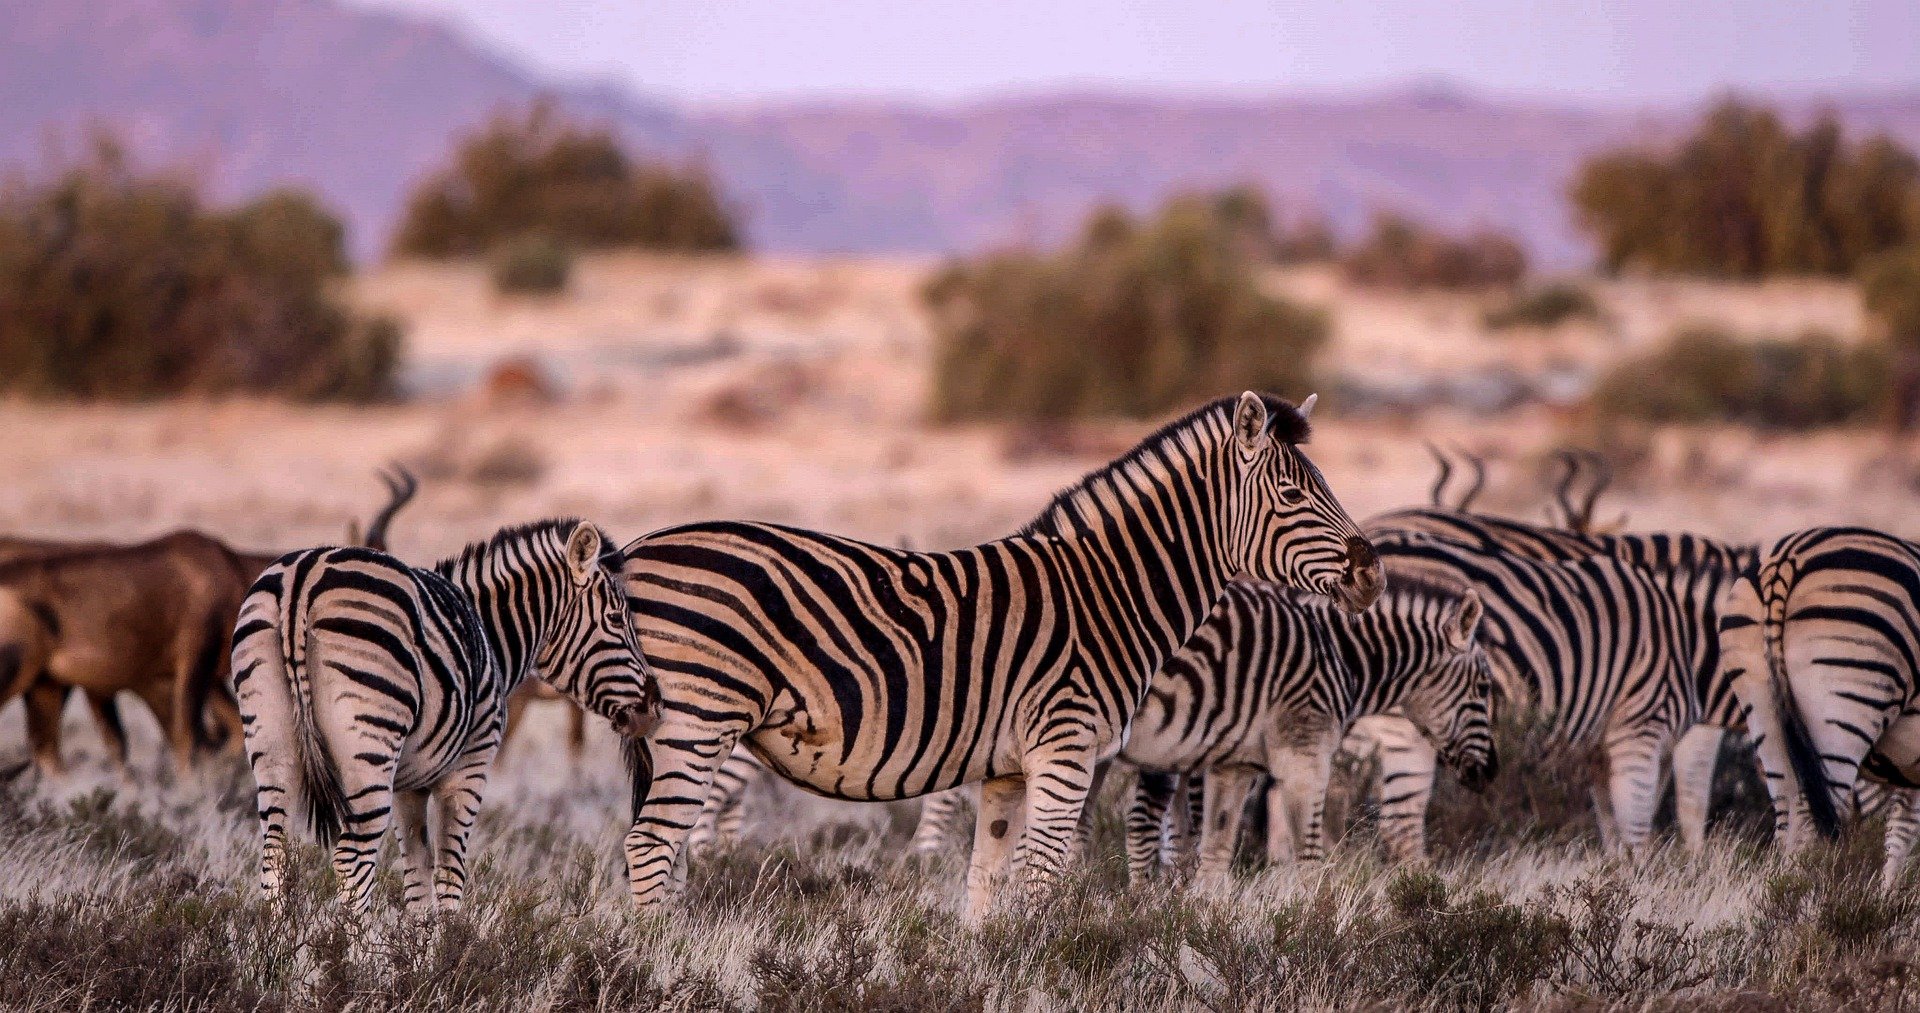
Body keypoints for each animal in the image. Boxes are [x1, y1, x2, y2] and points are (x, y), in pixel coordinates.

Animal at [232, 518, 660, 913]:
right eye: (617, 619)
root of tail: (302, 580)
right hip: (368, 750)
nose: (655, 706)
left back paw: (279, 946)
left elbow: (417, 877)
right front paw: (450, 943)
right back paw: (347, 948)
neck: (489, 633)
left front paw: (417, 945)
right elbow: (449, 874)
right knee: (351, 860)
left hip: (271, 740)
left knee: (276, 856)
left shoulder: (410, 785)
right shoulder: (469, 769)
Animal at [618, 393, 1382, 917]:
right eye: (1293, 493)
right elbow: (1041, 878)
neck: (1109, 592)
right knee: (651, 844)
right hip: (699, 719)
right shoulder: (1067, 748)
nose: (1372, 572)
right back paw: (664, 961)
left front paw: (988, 970)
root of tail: (628, 553)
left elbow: (985, 884)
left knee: (666, 846)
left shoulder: (1007, 769)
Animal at [1121, 575, 1497, 882]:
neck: (1341, 656)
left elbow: (1215, 852)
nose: (1490, 772)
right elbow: (1309, 858)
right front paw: (1311, 917)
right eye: (1483, 687)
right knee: (1142, 821)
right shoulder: (1304, 759)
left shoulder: (1234, 765)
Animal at [1728, 525, 1920, 874]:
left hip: (1761, 709)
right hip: (1843, 711)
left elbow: (1901, 832)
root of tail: (1787, 558)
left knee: (1787, 815)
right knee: (1814, 827)